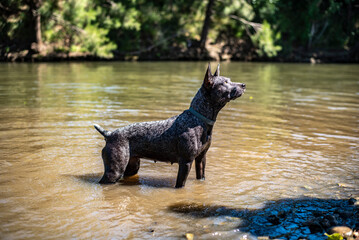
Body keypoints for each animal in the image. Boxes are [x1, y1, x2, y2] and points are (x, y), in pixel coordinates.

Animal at [95, 63, 248, 188]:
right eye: (225, 82)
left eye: (229, 80)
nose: (243, 85)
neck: (199, 119)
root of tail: (109, 134)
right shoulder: (186, 162)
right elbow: (180, 185)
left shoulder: (201, 159)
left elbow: (201, 177)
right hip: (114, 170)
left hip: (132, 166)